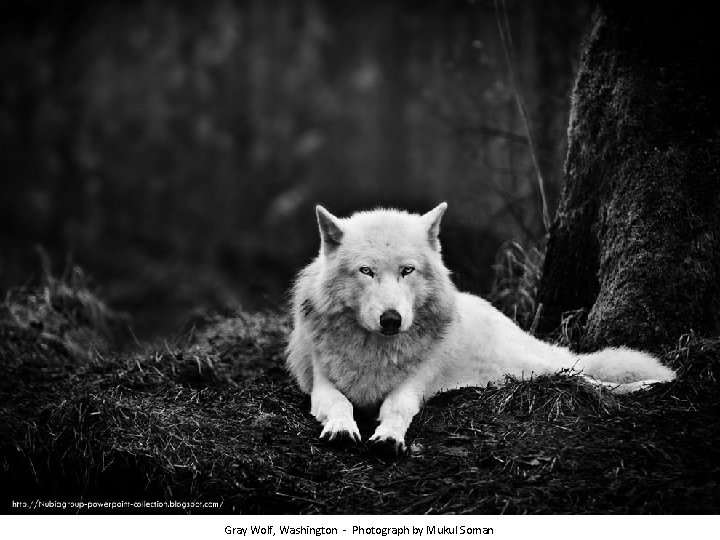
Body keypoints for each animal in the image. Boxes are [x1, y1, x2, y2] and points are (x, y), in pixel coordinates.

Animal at [286, 202, 676, 456]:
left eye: (407, 270)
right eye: (366, 271)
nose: (391, 319)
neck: (376, 351)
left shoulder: (412, 386)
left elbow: (396, 408)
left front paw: (389, 437)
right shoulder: (321, 384)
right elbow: (339, 403)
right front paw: (341, 428)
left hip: (530, 368)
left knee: (585, 376)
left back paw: (651, 384)